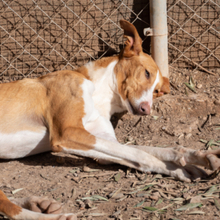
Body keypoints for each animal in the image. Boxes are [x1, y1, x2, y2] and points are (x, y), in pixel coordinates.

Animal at [0, 19, 220, 220]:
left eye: (157, 91)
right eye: (146, 73)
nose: (146, 110)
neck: (100, 95)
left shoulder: (98, 141)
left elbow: (147, 151)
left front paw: (192, 159)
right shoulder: (67, 134)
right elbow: (141, 154)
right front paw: (180, 166)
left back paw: (38, 203)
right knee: (10, 208)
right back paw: (55, 216)